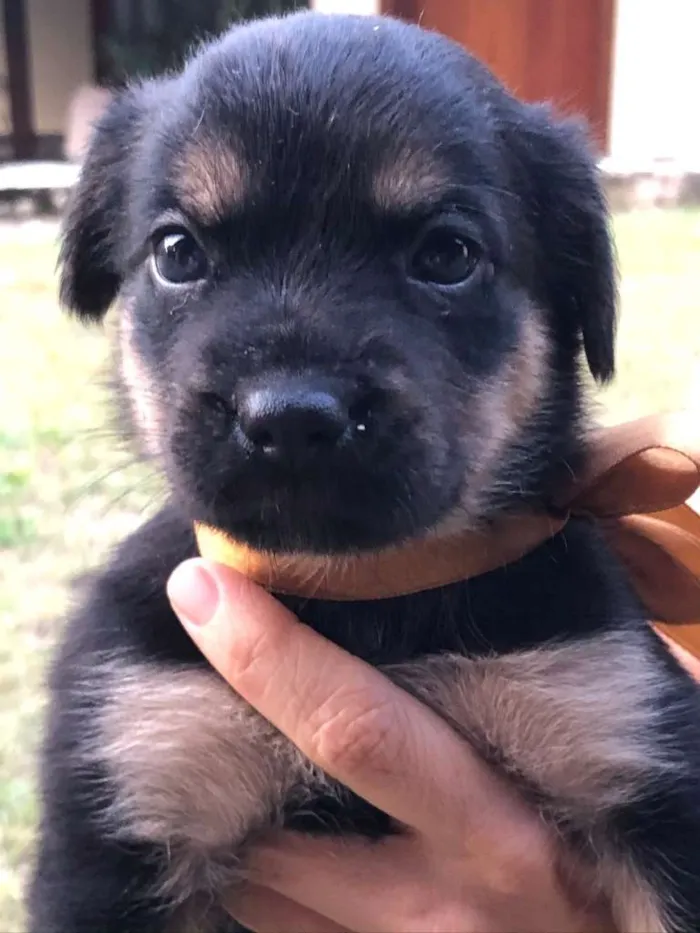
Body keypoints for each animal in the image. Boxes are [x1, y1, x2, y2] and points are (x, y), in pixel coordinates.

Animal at [26, 12, 700, 932]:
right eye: (177, 251)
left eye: (448, 253)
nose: (289, 418)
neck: (366, 600)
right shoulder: (133, 774)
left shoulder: (625, 741)